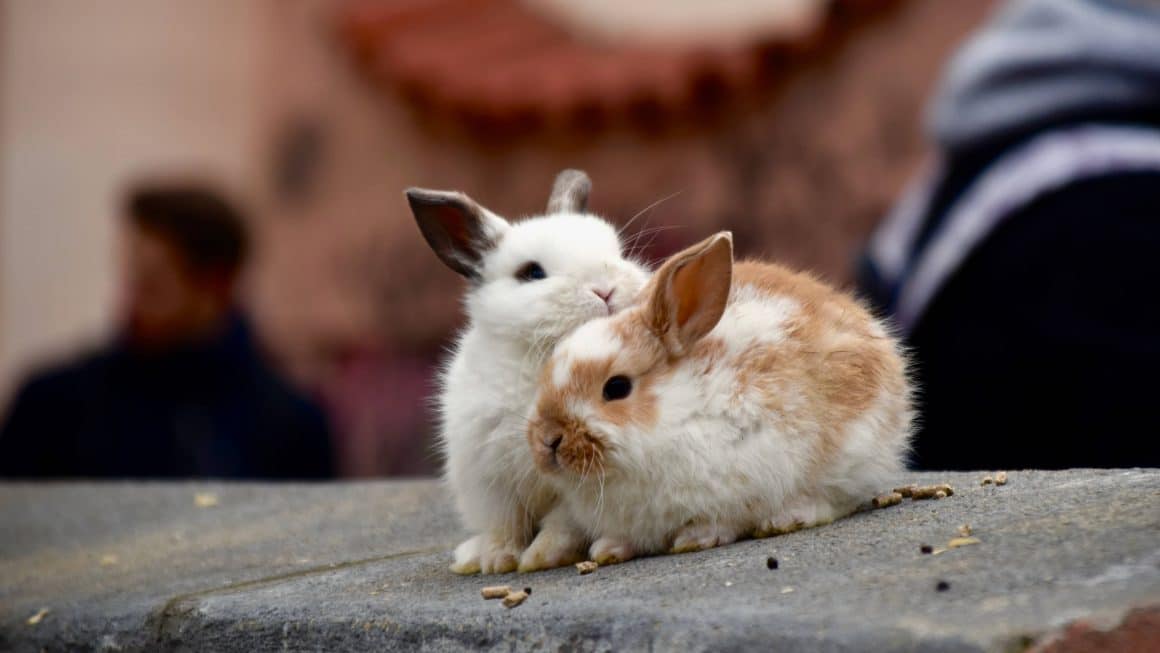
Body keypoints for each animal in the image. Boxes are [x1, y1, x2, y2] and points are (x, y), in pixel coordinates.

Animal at [403, 170, 649, 572]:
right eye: (532, 272)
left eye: (619, 253)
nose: (605, 290)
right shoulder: (491, 482)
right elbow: (506, 526)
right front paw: (496, 560)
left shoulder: (572, 487)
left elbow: (562, 524)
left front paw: (542, 557)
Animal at [526, 231, 914, 563]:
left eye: (616, 388)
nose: (548, 440)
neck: (677, 414)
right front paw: (607, 549)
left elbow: (724, 518)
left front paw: (696, 538)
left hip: (853, 452)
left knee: (834, 499)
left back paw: (787, 518)